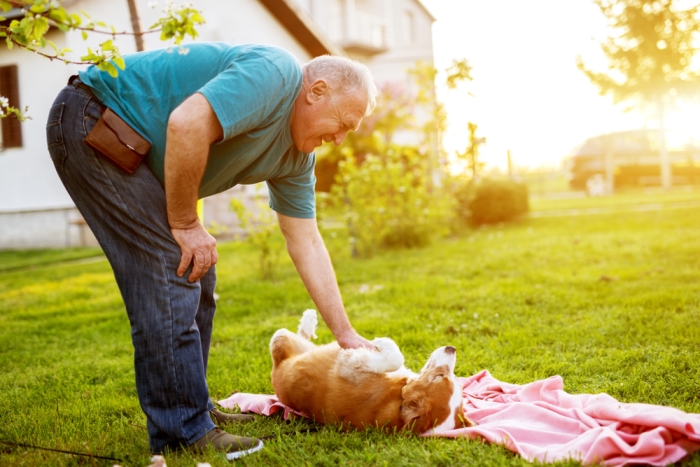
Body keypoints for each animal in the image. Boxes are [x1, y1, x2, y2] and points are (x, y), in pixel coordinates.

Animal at [268, 310, 476, 436]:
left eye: (437, 377)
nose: (452, 348)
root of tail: (277, 368)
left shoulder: (348, 366)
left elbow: (393, 357)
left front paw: (381, 342)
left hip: (282, 339)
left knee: (290, 336)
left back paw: (308, 320)